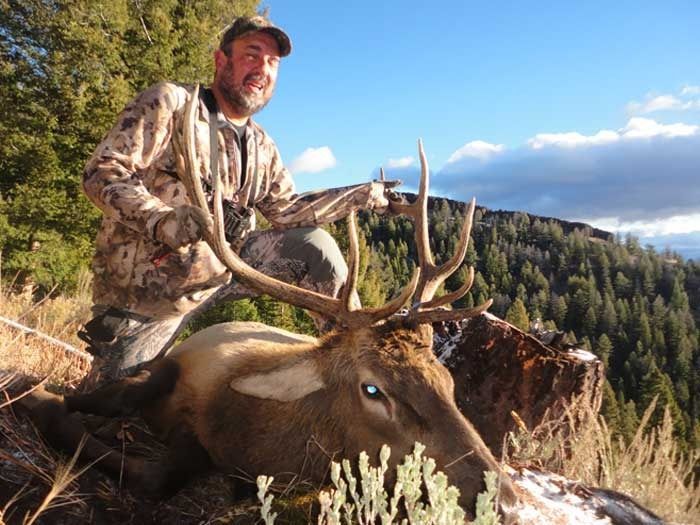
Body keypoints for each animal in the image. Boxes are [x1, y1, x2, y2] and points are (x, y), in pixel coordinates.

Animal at [21, 87, 518, 518]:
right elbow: (99, 405)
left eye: (448, 383)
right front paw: (42, 395)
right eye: (373, 389)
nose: (505, 500)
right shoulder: (169, 367)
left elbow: (164, 475)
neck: (255, 439)